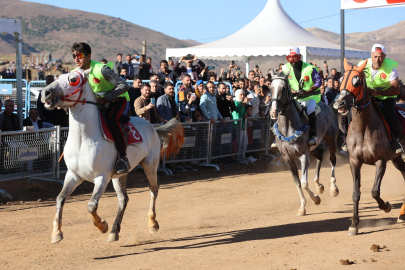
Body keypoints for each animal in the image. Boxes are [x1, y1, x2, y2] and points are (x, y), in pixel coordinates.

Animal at [40, 68, 183, 244]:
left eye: (73, 79)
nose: (45, 93)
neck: (83, 139)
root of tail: (152, 127)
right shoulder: (73, 175)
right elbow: (60, 198)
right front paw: (56, 233)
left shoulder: (102, 178)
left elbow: (91, 205)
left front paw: (102, 225)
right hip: (119, 175)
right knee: (123, 199)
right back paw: (115, 231)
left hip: (150, 165)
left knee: (153, 190)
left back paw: (152, 223)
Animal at [332, 58, 404, 234]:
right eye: (341, 78)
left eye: (356, 81)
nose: (339, 103)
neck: (364, 127)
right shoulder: (354, 161)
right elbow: (356, 193)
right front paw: (354, 224)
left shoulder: (381, 161)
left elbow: (374, 191)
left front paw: (386, 206)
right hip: (397, 158)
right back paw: (402, 215)